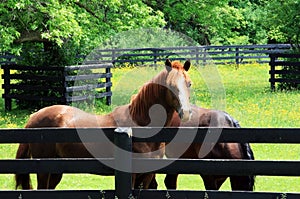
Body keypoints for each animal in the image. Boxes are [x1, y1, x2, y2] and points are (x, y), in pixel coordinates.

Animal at [14, 58, 192, 190]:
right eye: (170, 85)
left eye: (189, 83)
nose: (187, 112)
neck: (140, 125)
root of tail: (33, 117)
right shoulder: (132, 175)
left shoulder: (147, 176)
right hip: (44, 171)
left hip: (56, 170)